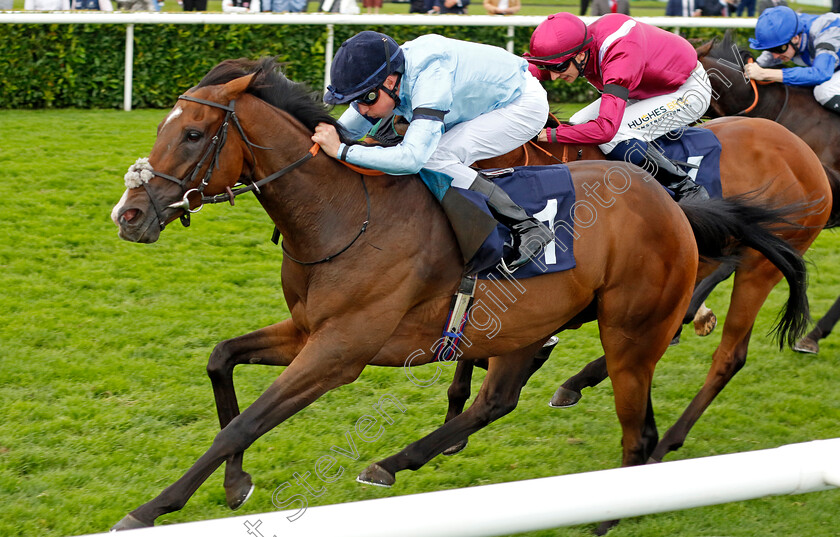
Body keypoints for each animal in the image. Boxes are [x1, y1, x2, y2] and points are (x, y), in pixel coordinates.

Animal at [108, 57, 812, 528]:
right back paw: (397, 460)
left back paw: (607, 511)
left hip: (631, 333)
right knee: (503, 400)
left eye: (193, 134)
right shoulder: (308, 331)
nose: (129, 215)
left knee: (635, 430)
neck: (345, 214)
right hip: (531, 324)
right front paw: (235, 485)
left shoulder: (341, 352)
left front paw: (152, 507)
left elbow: (245, 421)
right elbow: (221, 360)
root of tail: (674, 207)